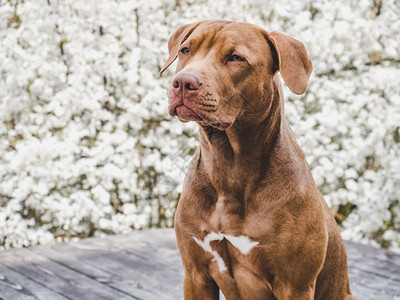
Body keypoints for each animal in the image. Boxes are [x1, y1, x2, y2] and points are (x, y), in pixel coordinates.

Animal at [159, 21, 356, 300]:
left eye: (235, 58)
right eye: (186, 50)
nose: (184, 82)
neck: (229, 165)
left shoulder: (294, 286)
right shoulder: (196, 275)